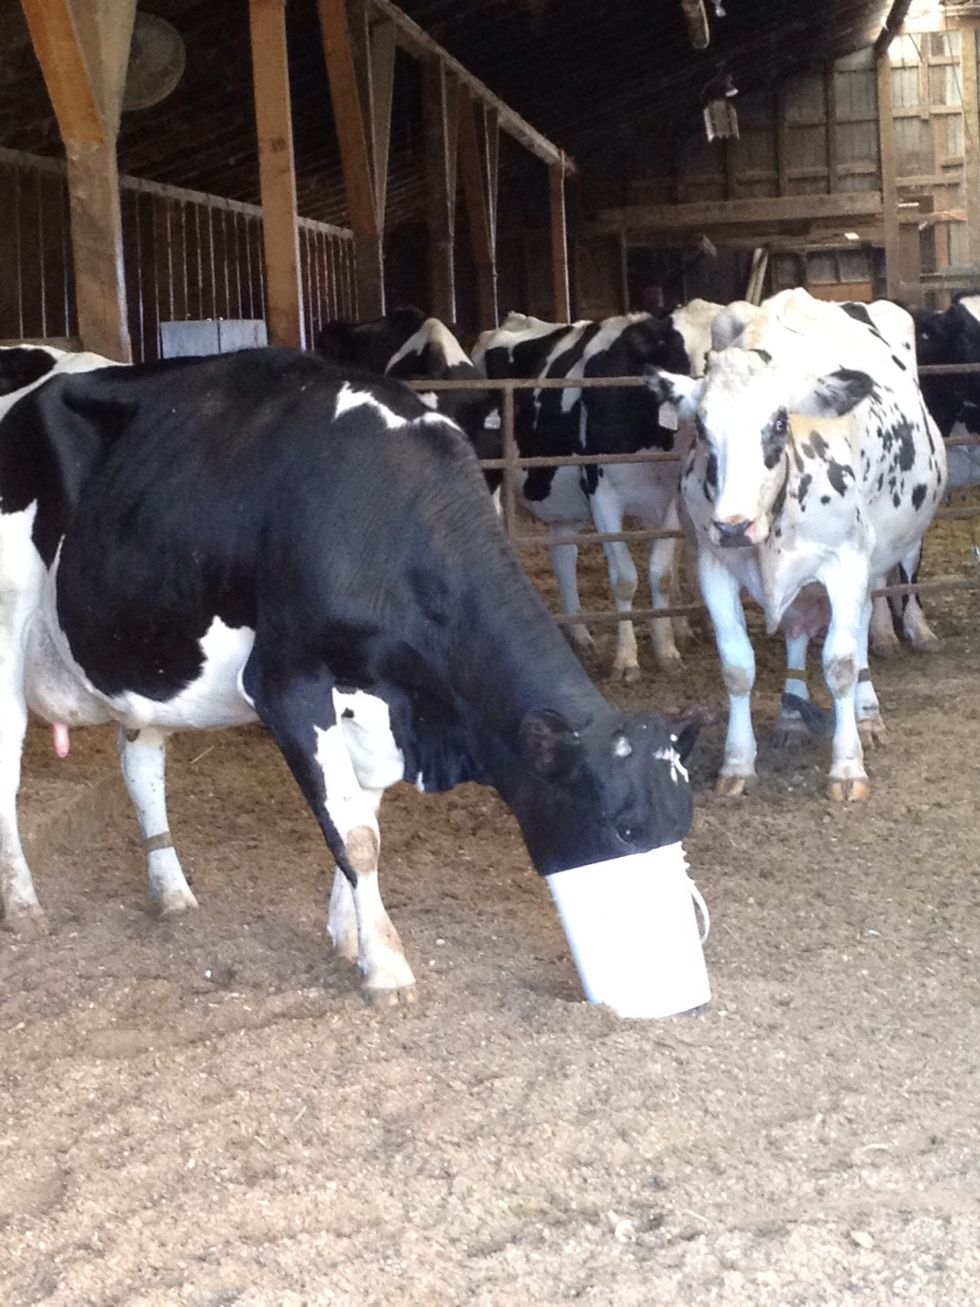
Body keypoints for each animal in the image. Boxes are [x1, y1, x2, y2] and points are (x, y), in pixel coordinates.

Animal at [0, 344, 699, 1004]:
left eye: (683, 821)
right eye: (626, 827)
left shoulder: (378, 704)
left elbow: (361, 817)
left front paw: (349, 936)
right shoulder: (286, 683)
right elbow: (356, 835)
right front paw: (386, 964)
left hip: (142, 647)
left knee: (141, 764)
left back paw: (171, 892)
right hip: (8, 631)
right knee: (8, 770)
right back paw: (23, 904)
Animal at [471, 302, 724, 682]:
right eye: (680, 359)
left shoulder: (666, 500)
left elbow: (661, 574)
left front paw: (666, 650)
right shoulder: (601, 493)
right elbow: (624, 579)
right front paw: (627, 660)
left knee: (563, 556)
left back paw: (580, 636)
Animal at [645, 288, 946, 801]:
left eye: (779, 422)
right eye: (701, 428)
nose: (734, 525)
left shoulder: (846, 563)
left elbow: (841, 664)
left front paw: (847, 766)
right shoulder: (714, 565)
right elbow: (737, 667)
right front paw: (737, 762)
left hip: (872, 559)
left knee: (860, 630)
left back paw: (867, 716)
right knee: (798, 630)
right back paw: (791, 713)